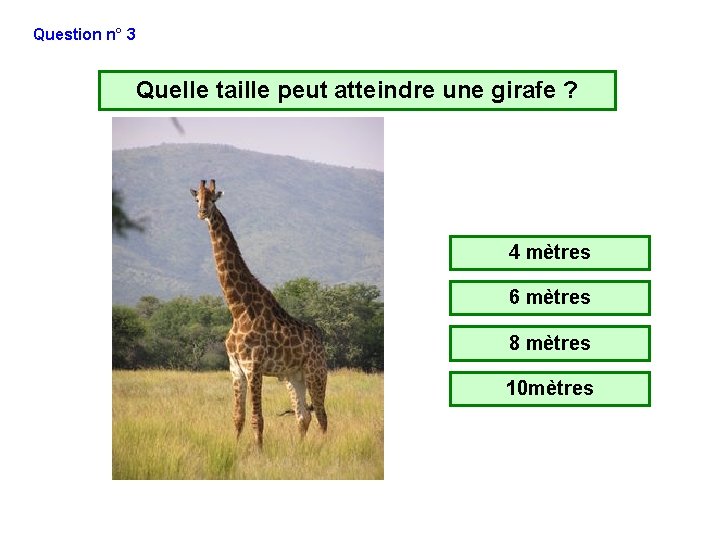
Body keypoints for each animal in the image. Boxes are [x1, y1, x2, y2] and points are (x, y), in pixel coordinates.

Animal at [190, 179, 328, 447]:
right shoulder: (235, 368)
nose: (202, 213)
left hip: (316, 373)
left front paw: (258, 451)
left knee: (322, 415)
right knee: (303, 415)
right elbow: (238, 417)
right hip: (292, 376)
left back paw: (323, 449)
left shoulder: (253, 366)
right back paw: (300, 449)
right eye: (197, 199)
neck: (237, 309)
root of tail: (323, 345)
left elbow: (257, 418)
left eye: (213, 199)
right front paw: (235, 449)